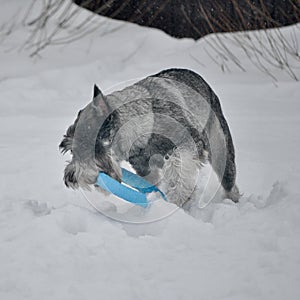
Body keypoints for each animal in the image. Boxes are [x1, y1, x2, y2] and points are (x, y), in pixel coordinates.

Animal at [59, 69, 240, 207]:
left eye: (87, 145)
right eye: (71, 150)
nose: (71, 177)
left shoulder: (190, 142)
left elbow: (179, 168)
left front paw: (175, 199)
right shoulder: (144, 169)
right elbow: (152, 182)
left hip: (221, 151)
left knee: (229, 182)